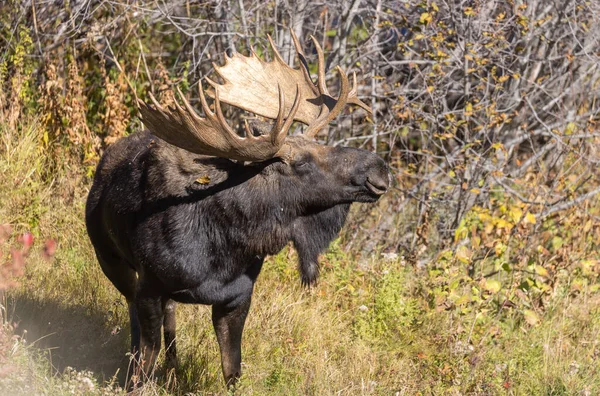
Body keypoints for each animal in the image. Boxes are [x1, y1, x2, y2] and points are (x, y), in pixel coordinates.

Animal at [86, 31, 392, 386]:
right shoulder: (149, 286)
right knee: (135, 319)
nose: (379, 169)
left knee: (170, 322)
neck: (225, 245)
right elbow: (145, 361)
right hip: (111, 261)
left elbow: (233, 368)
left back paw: (173, 366)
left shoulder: (237, 297)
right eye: (302, 162)